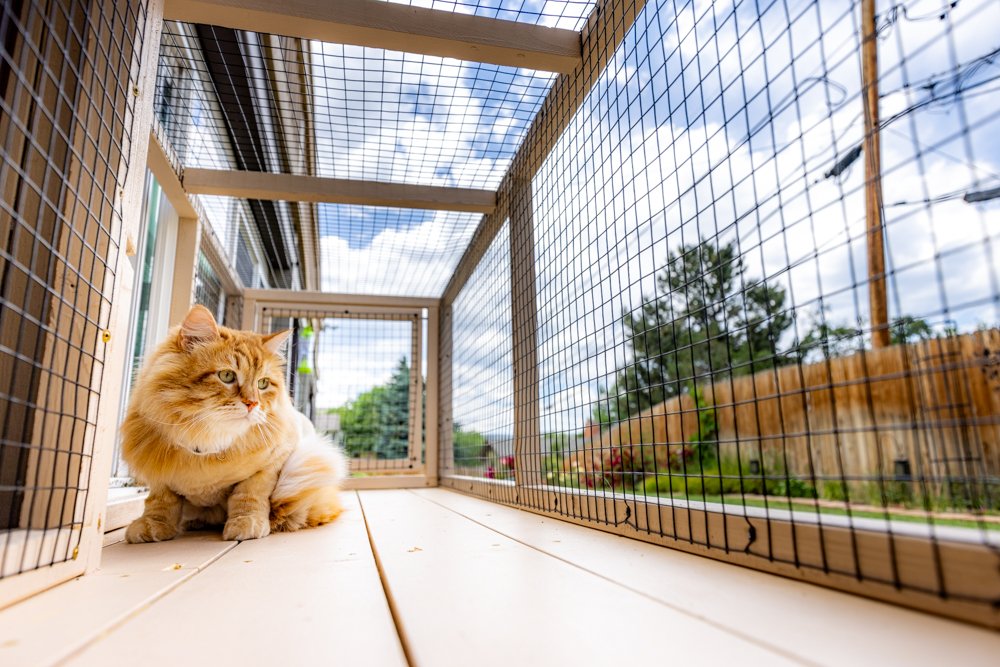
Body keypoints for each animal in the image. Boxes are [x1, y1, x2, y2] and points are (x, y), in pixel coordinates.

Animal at [120, 306, 348, 544]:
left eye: (262, 383)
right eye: (227, 376)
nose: (252, 403)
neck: (207, 444)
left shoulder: (270, 464)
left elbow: (249, 495)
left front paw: (247, 523)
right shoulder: (158, 473)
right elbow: (160, 502)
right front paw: (152, 525)